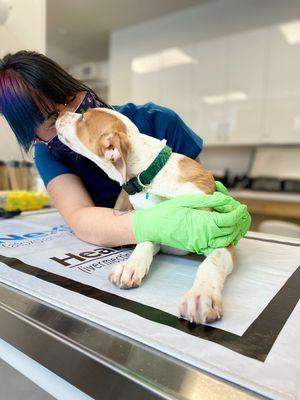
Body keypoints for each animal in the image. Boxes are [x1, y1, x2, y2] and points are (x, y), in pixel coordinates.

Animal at [55, 107, 234, 324]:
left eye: (83, 118)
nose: (60, 112)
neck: (152, 176)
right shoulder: (154, 224)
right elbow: (145, 242)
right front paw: (131, 265)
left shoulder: (223, 238)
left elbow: (211, 263)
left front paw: (202, 294)